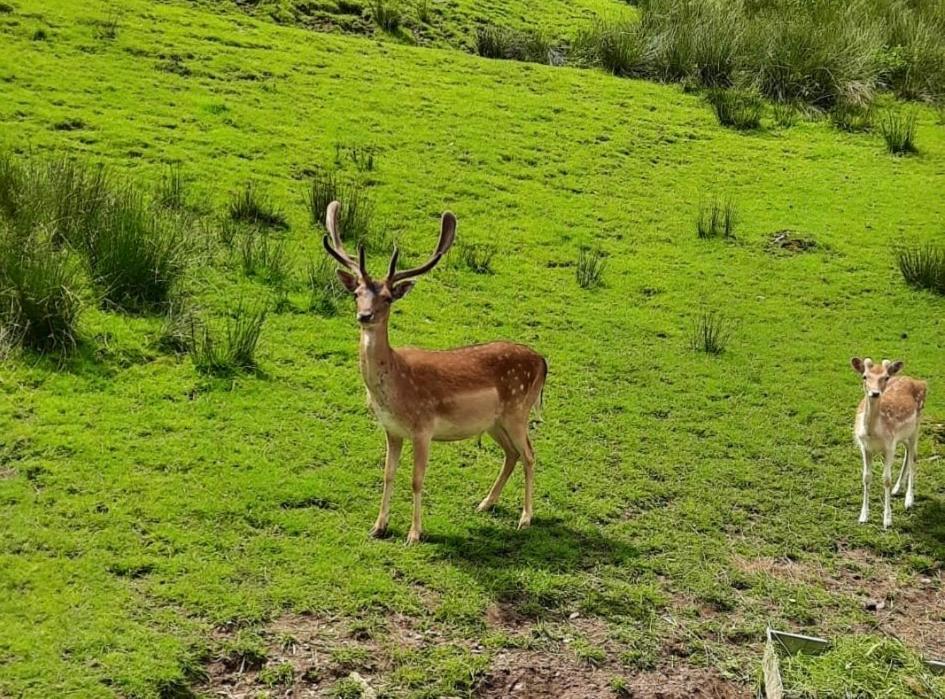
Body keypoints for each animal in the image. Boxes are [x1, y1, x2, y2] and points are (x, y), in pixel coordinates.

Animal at [322, 200, 544, 544]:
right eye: (356, 293)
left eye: (388, 297)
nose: (365, 316)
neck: (393, 389)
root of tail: (543, 362)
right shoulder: (391, 429)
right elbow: (387, 475)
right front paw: (378, 526)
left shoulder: (423, 427)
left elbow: (416, 479)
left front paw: (414, 533)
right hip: (494, 422)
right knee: (512, 454)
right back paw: (485, 503)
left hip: (518, 410)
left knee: (531, 454)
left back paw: (525, 518)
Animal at [852, 358, 924, 528]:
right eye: (865, 376)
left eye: (885, 377)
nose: (875, 393)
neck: (873, 433)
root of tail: (921, 382)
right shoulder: (865, 446)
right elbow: (866, 477)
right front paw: (863, 516)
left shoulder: (889, 445)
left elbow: (886, 480)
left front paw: (887, 520)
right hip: (903, 435)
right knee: (907, 453)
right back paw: (897, 489)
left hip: (916, 426)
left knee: (914, 457)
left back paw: (909, 500)